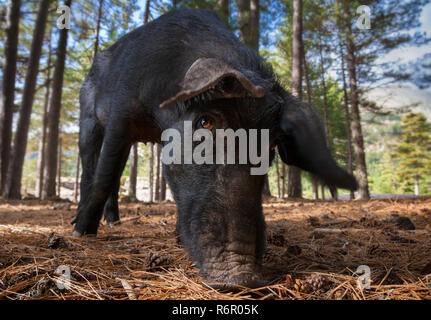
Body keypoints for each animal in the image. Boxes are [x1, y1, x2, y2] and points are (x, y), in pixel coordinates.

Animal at [74, 9, 358, 290]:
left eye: (271, 144)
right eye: (205, 122)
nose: (240, 278)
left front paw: (178, 239)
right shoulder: (121, 114)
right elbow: (104, 176)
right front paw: (82, 234)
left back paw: (115, 222)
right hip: (87, 117)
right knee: (92, 169)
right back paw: (87, 225)